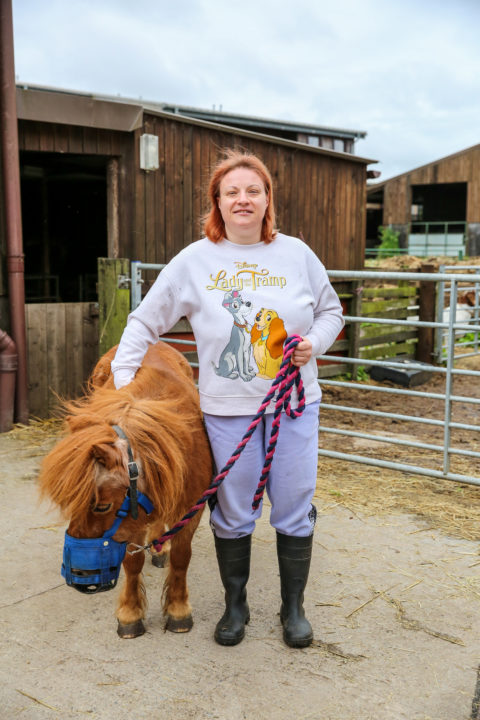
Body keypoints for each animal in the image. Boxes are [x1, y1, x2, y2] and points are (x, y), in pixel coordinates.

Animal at [39, 342, 214, 636]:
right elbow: (133, 564)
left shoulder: (191, 507)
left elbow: (181, 556)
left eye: (102, 506)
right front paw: (131, 614)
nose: (80, 576)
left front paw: (178, 609)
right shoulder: (129, 522)